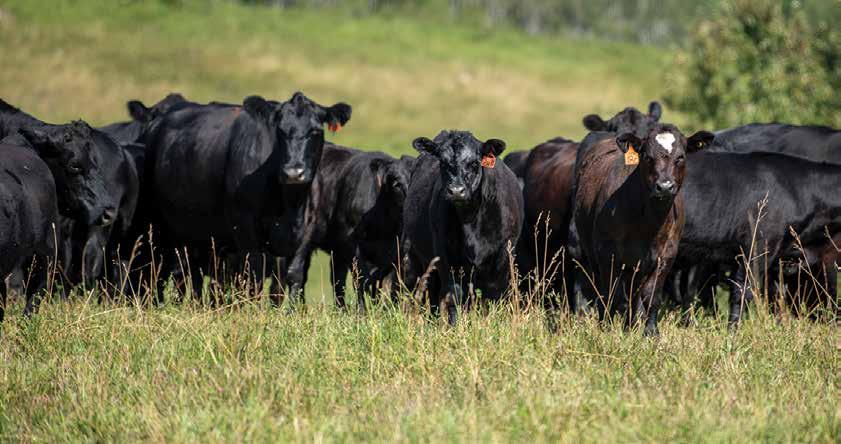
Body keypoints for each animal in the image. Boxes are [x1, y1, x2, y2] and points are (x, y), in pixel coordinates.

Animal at [141, 92, 351, 303]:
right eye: (280, 131)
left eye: (315, 131)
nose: (293, 173)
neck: (290, 204)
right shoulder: (244, 226)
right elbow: (254, 276)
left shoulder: (305, 232)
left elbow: (292, 277)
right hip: (157, 223)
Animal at [286, 145, 414, 311]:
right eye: (396, 183)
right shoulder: (355, 246)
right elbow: (360, 280)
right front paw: (363, 312)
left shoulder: (398, 252)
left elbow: (389, 284)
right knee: (298, 273)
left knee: (336, 279)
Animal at [401, 130, 523, 325]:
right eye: (443, 162)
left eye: (474, 163)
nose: (457, 191)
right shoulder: (445, 256)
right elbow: (454, 296)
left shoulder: (502, 256)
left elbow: (493, 295)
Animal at [569, 124, 714, 335]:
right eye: (647, 157)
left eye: (680, 157)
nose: (665, 186)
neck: (647, 224)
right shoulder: (607, 254)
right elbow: (611, 293)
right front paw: (608, 329)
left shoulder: (666, 255)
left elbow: (651, 295)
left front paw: (651, 332)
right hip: (589, 251)